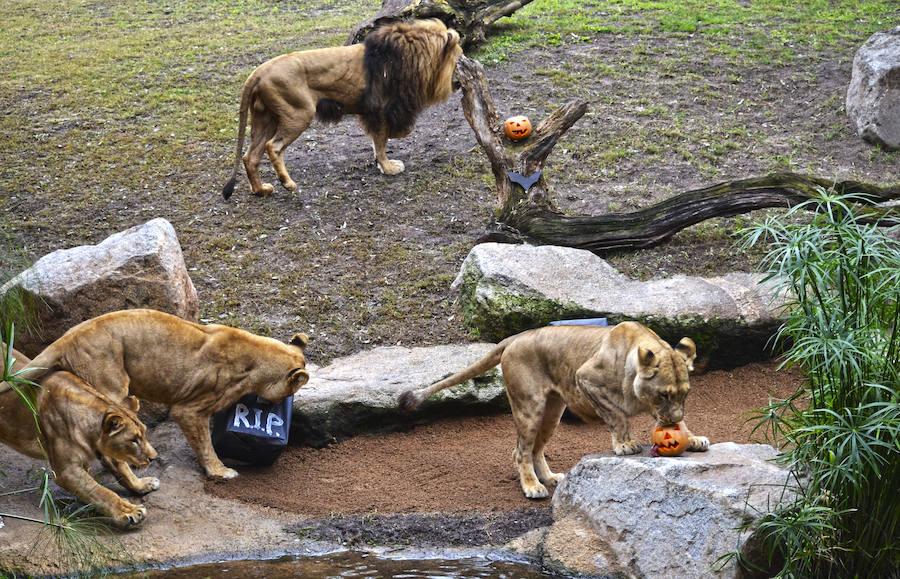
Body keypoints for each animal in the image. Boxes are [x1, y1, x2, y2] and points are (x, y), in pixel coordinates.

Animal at [223, 18, 464, 199]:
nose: (462, 81)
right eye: (459, 58)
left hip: (266, 119)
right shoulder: (380, 109)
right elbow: (382, 141)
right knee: (273, 146)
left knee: (250, 156)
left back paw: (261, 190)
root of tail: (258, 71)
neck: (415, 56)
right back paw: (287, 183)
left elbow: (386, 138)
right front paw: (388, 168)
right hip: (299, 113)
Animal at [400, 322, 712, 498]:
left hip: (552, 411)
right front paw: (626, 444)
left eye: (685, 394)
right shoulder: (586, 379)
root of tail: (515, 337)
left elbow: (678, 424)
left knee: (536, 449)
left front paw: (692, 438)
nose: (673, 417)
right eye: (663, 394)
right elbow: (617, 416)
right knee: (520, 451)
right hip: (530, 405)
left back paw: (549, 479)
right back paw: (532, 487)